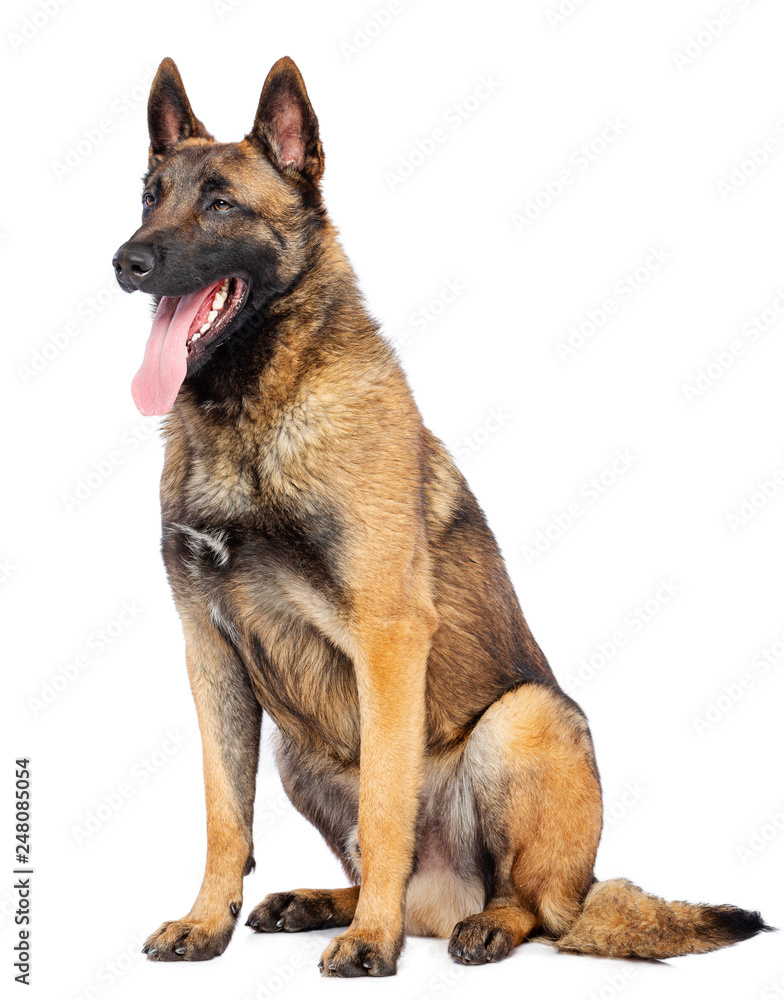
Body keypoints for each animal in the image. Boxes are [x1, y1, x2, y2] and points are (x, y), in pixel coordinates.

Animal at [113, 56, 768, 976]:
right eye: (149, 194)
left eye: (221, 204)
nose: (126, 261)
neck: (252, 413)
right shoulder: (208, 653)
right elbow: (222, 814)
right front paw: (208, 921)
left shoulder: (388, 638)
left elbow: (386, 808)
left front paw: (371, 944)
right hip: (298, 751)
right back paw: (327, 902)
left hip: (527, 719)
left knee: (539, 905)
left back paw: (471, 924)